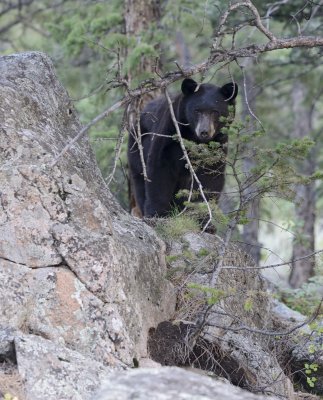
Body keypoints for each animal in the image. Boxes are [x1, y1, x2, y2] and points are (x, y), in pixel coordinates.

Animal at [128, 78, 238, 219]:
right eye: (197, 110)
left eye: (215, 111)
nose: (204, 132)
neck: (193, 139)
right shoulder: (170, 131)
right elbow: (159, 169)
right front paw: (157, 213)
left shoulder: (216, 147)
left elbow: (210, 178)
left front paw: (202, 216)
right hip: (138, 147)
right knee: (140, 179)